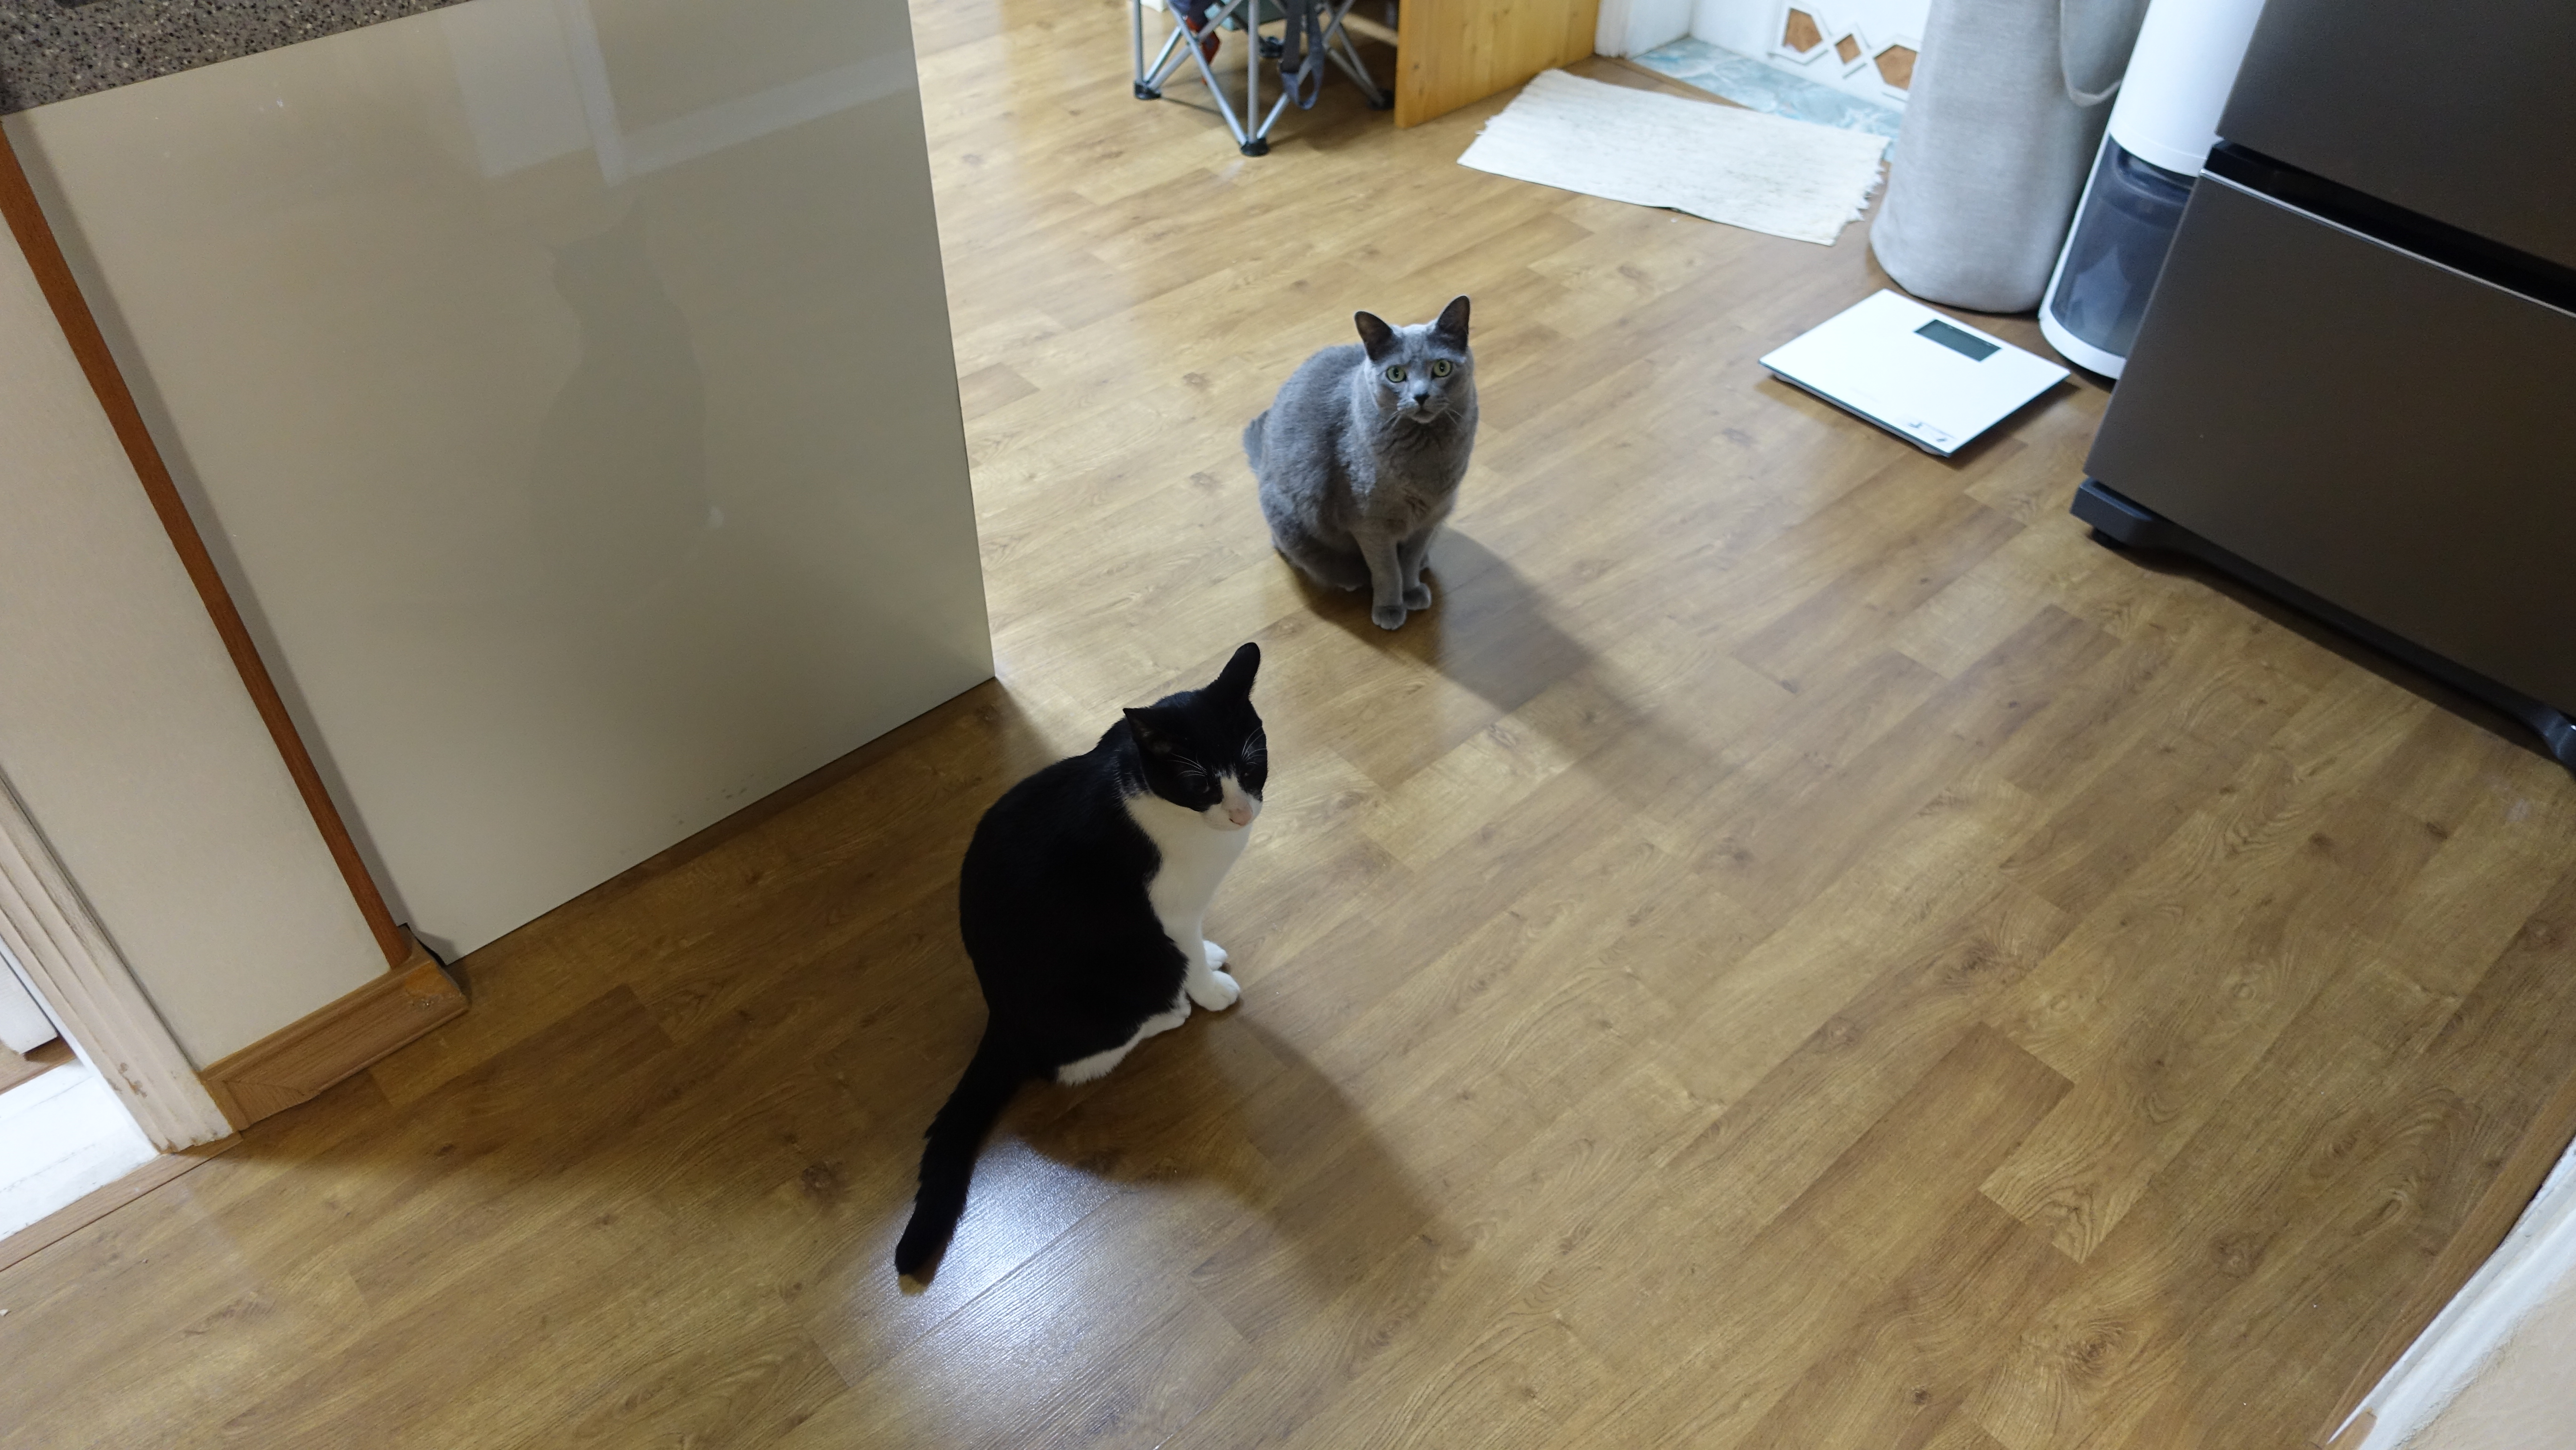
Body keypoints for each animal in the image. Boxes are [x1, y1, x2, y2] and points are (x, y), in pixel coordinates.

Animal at [893, 643, 1269, 1279]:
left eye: (1250, 765)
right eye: (1199, 782)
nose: (1242, 814)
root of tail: (1001, 1017)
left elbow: (1200, 941)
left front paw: (1213, 955)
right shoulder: (1171, 913)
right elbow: (1189, 953)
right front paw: (1210, 989)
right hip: (1116, 983)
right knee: (1073, 1062)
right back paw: (1169, 1013)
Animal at [1245, 296, 1477, 631]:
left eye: (1442, 368)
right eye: (1396, 374)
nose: (1421, 396)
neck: (1425, 464)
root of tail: (1262, 459)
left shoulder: (1429, 518)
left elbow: (1407, 563)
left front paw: (1412, 591)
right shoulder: (1370, 525)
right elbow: (1387, 570)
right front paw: (1390, 608)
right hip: (1290, 522)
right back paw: (1350, 579)